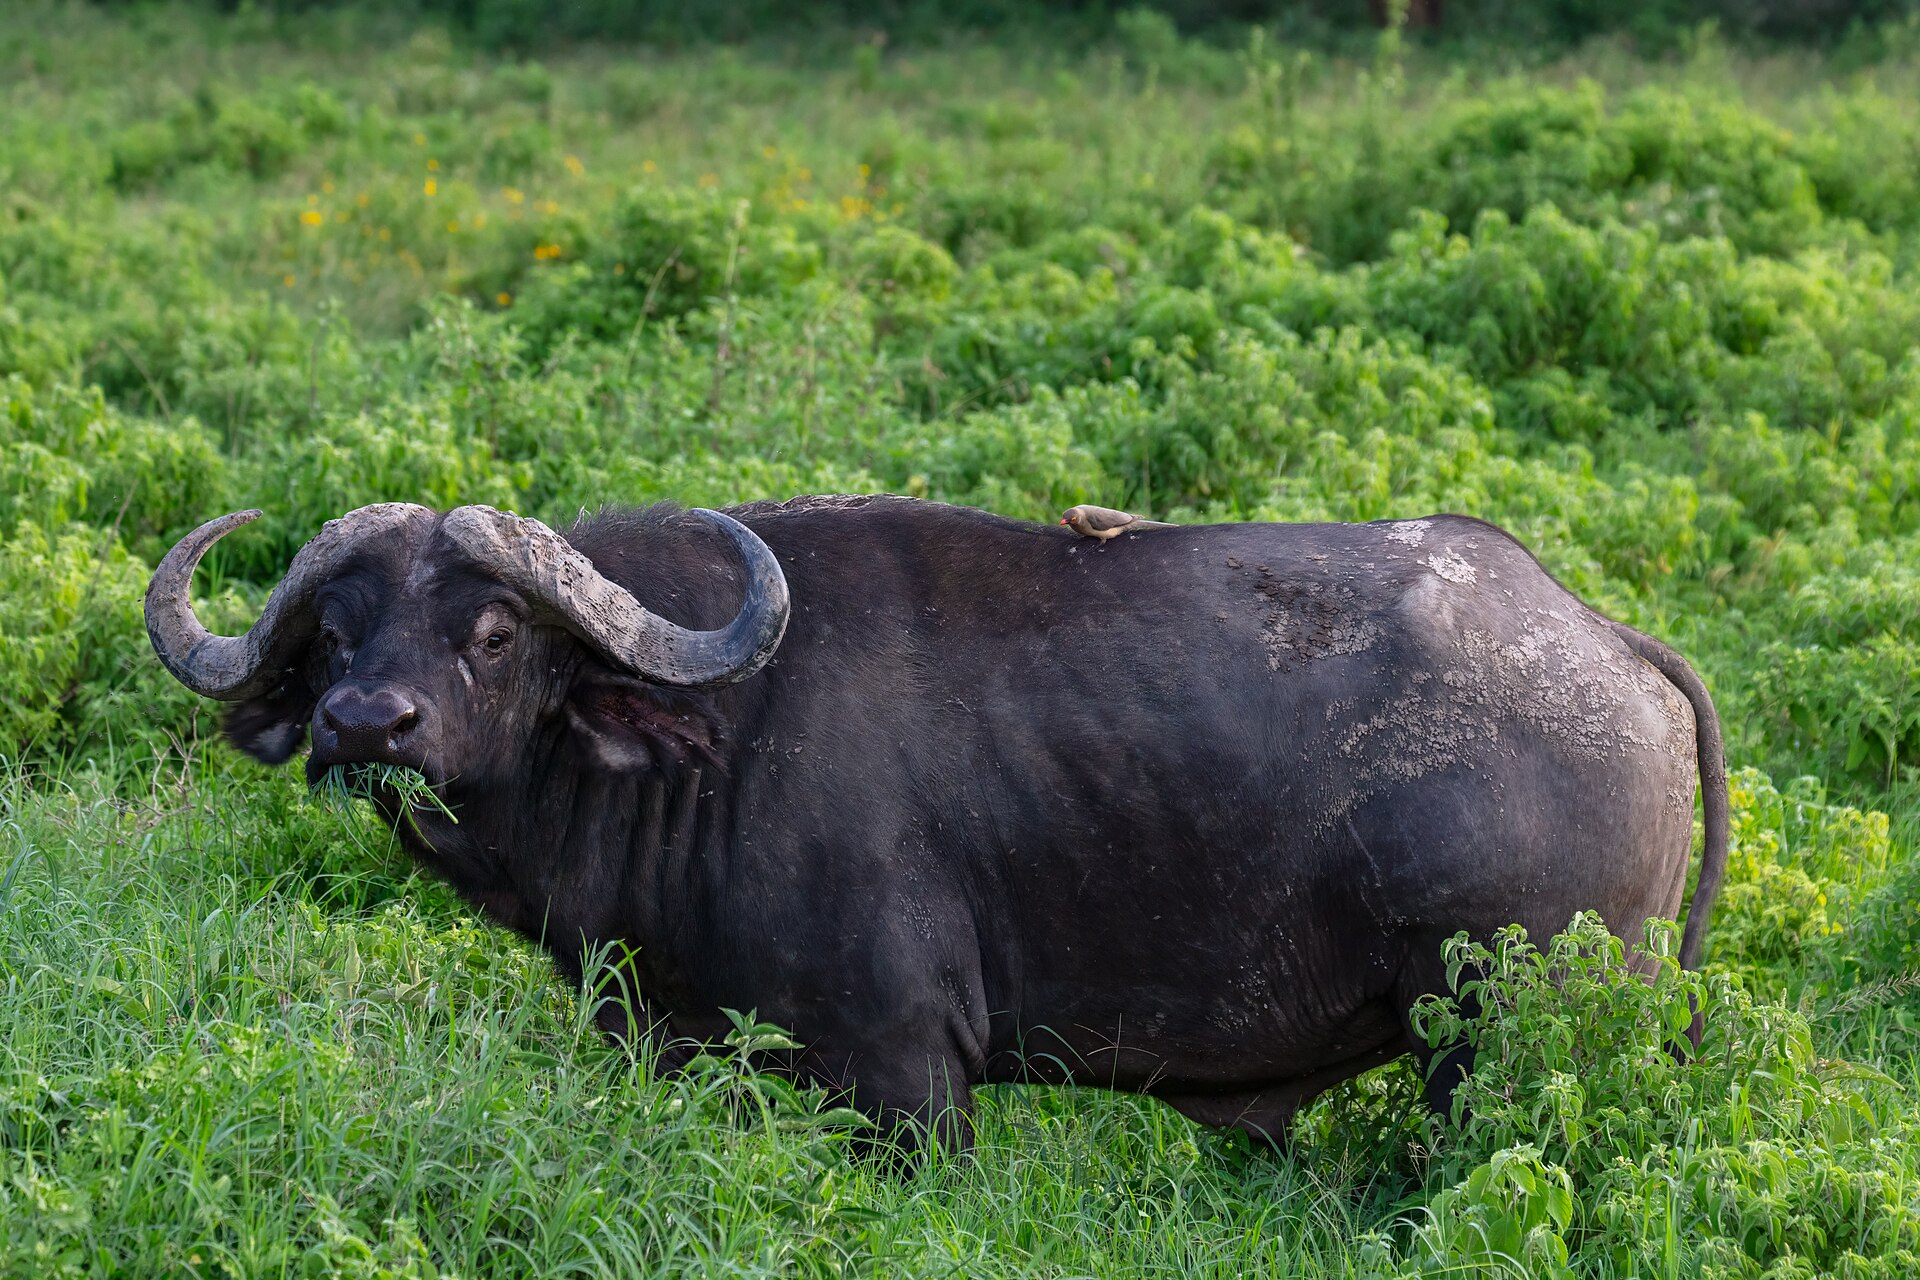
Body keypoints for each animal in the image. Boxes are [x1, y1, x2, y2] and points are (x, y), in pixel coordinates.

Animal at [146, 496, 1727, 1153]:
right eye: (334, 636)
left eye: (488, 633)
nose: (367, 727)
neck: (715, 750)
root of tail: (1605, 639)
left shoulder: (905, 1076)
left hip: (1504, 1033)